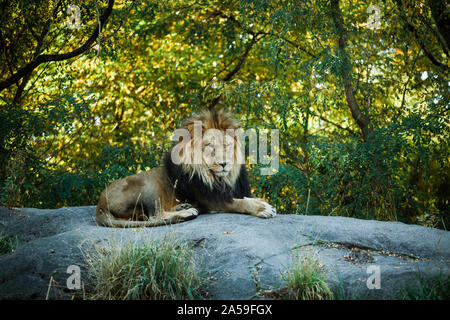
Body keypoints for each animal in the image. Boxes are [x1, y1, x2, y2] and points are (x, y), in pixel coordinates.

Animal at [96, 110, 276, 228]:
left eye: (227, 145)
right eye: (210, 146)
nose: (224, 163)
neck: (220, 178)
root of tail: (100, 205)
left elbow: (246, 197)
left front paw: (261, 201)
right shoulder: (213, 201)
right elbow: (239, 203)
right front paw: (263, 208)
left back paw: (183, 207)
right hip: (148, 185)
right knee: (153, 216)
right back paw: (186, 213)